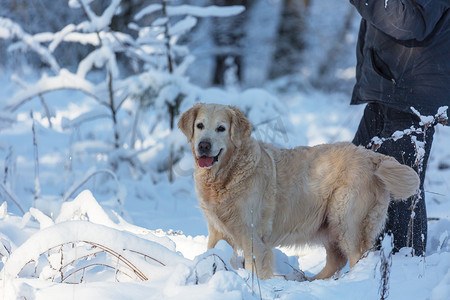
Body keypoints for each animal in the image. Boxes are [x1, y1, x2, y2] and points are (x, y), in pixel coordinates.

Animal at [178, 102, 420, 278]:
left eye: (221, 128)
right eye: (200, 126)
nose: (204, 145)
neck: (227, 174)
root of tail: (372, 156)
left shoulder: (252, 234)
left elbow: (254, 267)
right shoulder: (217, 229)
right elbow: (212, 252)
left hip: (346, 220)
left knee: (358, 257)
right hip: (330, 225)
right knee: (337, 260)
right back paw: (309, 281)